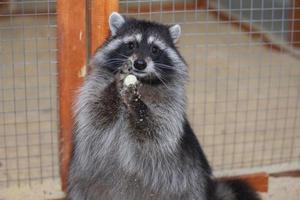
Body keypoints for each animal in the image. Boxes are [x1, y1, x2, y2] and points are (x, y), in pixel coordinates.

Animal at [67, 12, 260, 200]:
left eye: (155, 49)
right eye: (131, 45)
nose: (139, 64)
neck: (142, 81)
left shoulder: (170, 104)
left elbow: (156, 131)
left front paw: (138, 106)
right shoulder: (95, 86)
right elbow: (96, 113)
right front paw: (114, 87)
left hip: (189, 185)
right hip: (82, 183)